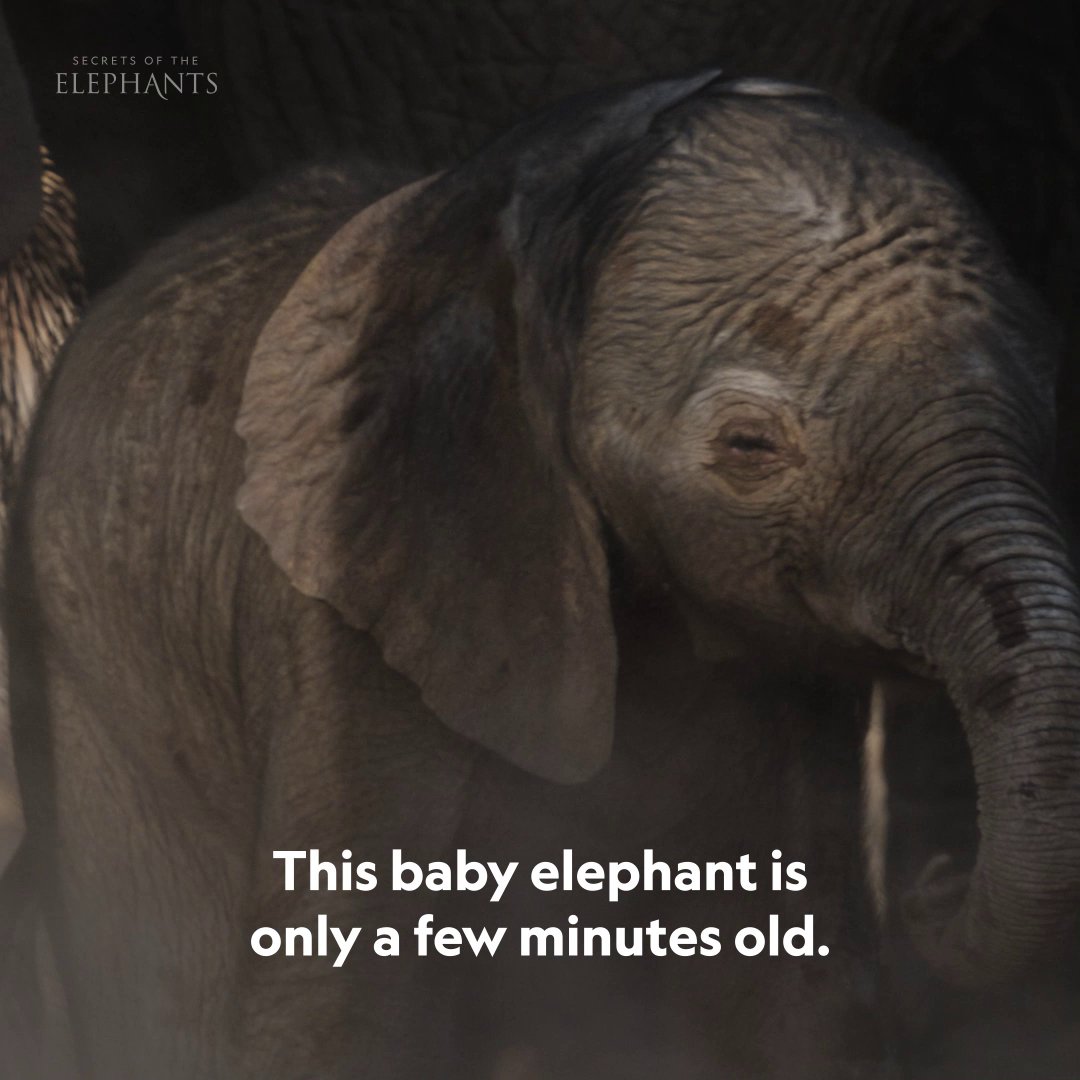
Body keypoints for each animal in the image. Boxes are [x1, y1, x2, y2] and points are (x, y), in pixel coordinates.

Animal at [8, 69, 1080, 1078]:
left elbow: (801, 997)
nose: (932, 883)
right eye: (748, 447)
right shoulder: (353, 609)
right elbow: (346, 1006)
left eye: (1048, 405)